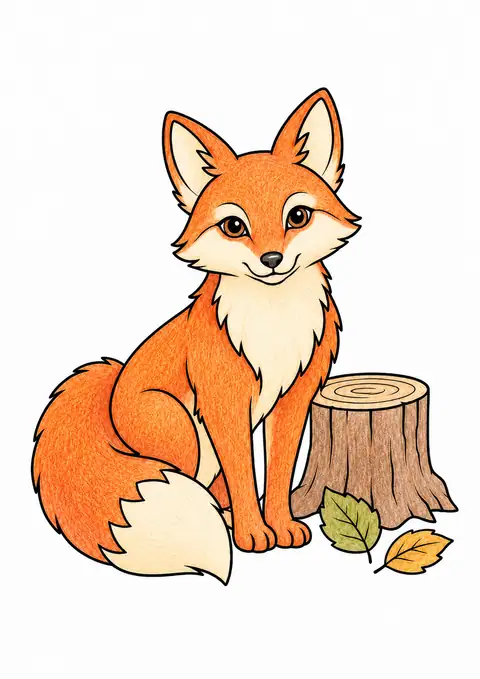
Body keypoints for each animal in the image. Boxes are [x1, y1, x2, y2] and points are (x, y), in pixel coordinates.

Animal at [32, 88, 360, 583]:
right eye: (234, 226)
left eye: (298, 216)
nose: (271, 260)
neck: (274, 325)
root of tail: (113, 380)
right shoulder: (224, 401)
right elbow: (245, 474)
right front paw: (253, 535)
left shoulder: (293, 399)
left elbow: (277, 473)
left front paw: (280, 526)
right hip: (183, 432)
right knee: (193, 479)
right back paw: (225, 521)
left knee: (217, 487)